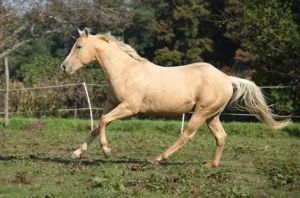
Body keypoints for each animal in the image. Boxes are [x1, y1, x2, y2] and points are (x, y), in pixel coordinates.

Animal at [61, 27, 290, 167]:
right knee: (221, 136)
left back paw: (158, 158)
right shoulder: (112, 104)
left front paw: (107, 151)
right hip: (212, 116)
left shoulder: (129, 107)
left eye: (79, 46)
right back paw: (211, 164)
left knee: (187, 135)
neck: (126, 71)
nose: (64, 67)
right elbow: (97, 125)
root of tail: (227, 78)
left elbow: (103, 121)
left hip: (201, 113)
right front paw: (76, 153)